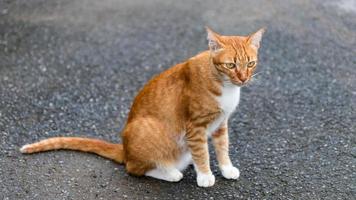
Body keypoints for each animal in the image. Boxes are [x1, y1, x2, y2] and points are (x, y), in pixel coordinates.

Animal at [20, 25, 264, 187]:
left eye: (250, 63)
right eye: (231, 65)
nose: (243, 78)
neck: (226, 86)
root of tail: (124, 149)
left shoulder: (221, 124)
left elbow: (222, 148)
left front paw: (226, 169)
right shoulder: (195, 126)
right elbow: (202, 152)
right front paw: (205, 175)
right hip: (145, 131)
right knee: (135, 168)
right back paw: (170, 172)